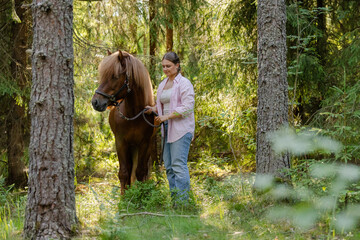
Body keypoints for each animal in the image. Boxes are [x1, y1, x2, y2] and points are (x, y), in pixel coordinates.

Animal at [91, 50, 155, 193]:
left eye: (114, 76)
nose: (95, 102)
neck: (134, 115)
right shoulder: (121, 142)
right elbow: (124, 173)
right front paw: (124, 196)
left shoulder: (144, 143)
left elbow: (140, 172)